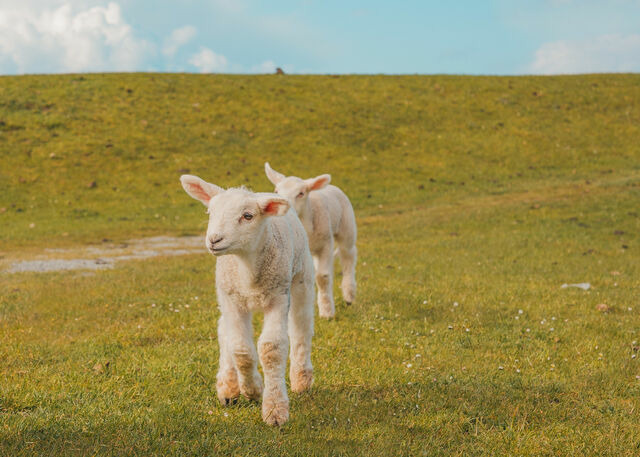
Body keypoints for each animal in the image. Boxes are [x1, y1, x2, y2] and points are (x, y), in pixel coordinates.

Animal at [180, 174, 316, 424]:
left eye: (248, 216)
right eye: (210, 212)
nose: (214, 240)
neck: (247, 271)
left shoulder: (278, 296)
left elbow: (271, 348)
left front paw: (274, 409)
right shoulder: (233, 300)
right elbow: (241, 349)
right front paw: (252, 389)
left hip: (302, 277)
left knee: (301, 327)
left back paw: (301, 379)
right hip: (225, 292)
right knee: (224, 330)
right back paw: (228, 386)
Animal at [262, 163, 358, 318]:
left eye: (301, 193)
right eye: (276, 190)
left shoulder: (326, 244)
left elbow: (323, 277)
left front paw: (327, 312)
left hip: (347, 227)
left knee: (348, 256)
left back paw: (349, 295)